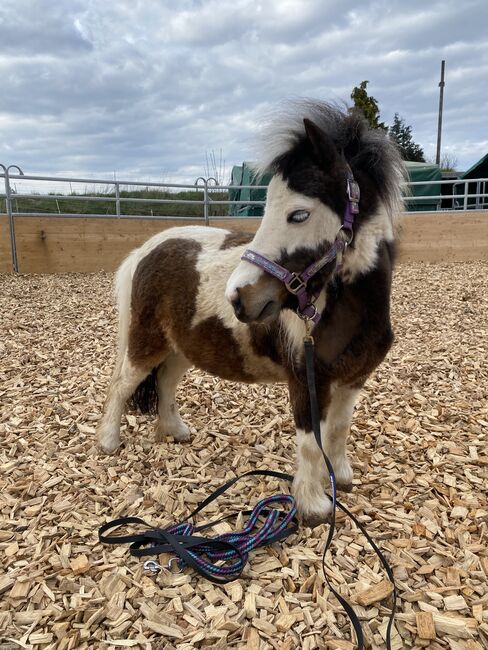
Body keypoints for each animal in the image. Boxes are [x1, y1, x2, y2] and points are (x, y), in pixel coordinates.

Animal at [96, 102, 404, 528]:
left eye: (298, 215)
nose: (239, 298)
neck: (345, 310)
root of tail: (145, 250)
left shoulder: (353, 379)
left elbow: (339, 429)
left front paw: (340, 478)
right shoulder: (307, 381)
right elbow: (311, 443)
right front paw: (313, 506)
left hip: (181, 348)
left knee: (166, 383)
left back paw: (176, 430)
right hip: (147, 342)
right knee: (123, 384)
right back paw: (109, 442)